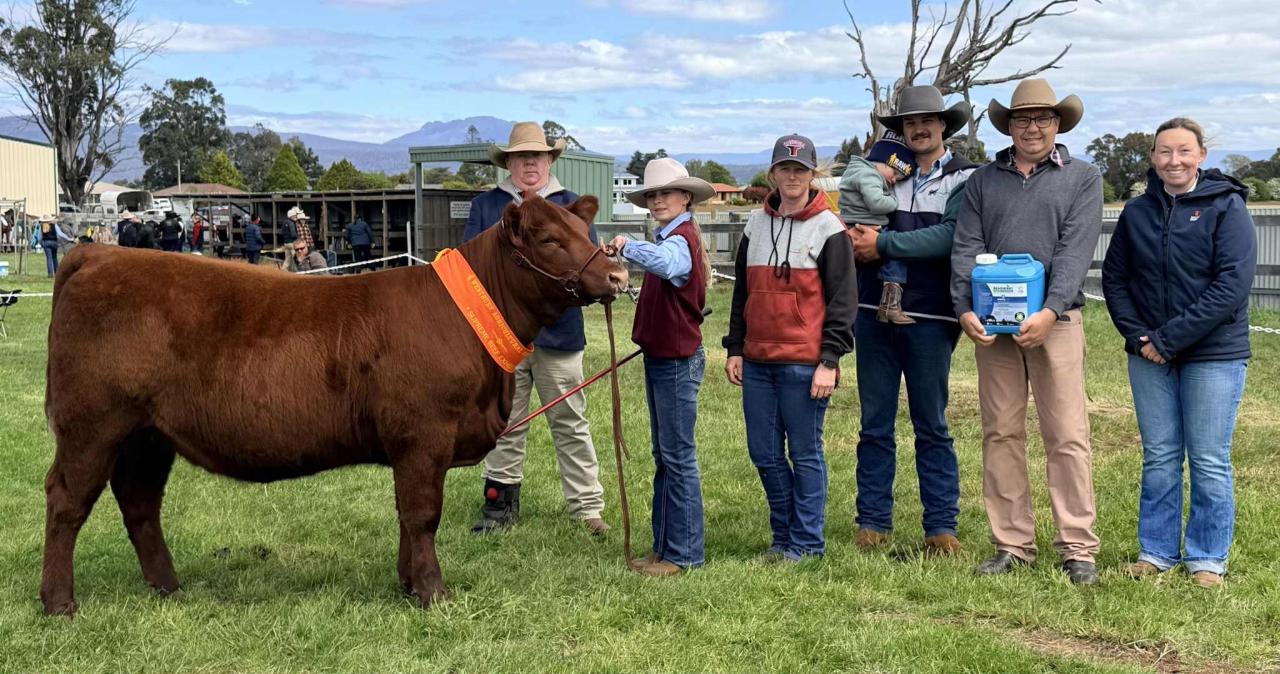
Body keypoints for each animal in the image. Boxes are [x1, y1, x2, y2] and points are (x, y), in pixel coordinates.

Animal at [40, 195, 627, 616]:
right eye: (549, 239)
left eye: (588, 234)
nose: (618, 276)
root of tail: (99, 253)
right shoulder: (424, 432)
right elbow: (423, 514)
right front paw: (433, 593)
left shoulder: (411, 446)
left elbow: (406, 514)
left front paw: (407, 584)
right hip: (91, 425)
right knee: (66, 501)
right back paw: (59, 603)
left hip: (147, 434)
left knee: (139, 502)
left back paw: (168, 587)